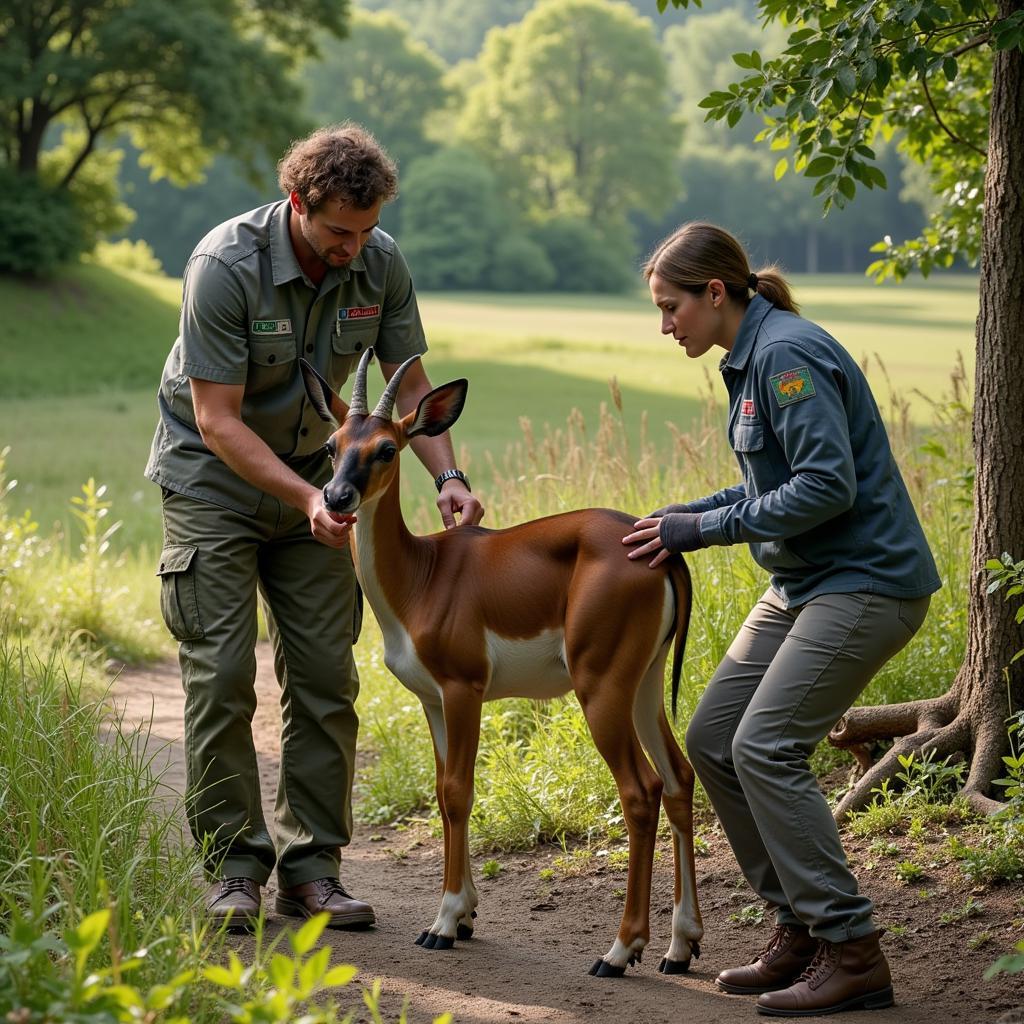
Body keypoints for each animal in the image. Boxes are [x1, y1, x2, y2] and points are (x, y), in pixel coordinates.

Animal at [301, 350, 704, 974]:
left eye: (386, 448)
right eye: (332, 444)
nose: (337, 498)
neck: (421, 577)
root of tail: (656, 544)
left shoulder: (464, 689)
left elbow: (458, 792)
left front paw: (443, 923)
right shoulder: (432, 701)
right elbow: (444, 792)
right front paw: (465, 914)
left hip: (601, 689)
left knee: (642, 792)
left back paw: (619, 951)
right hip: (644, 685)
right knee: (680, 778)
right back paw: (680, 947)